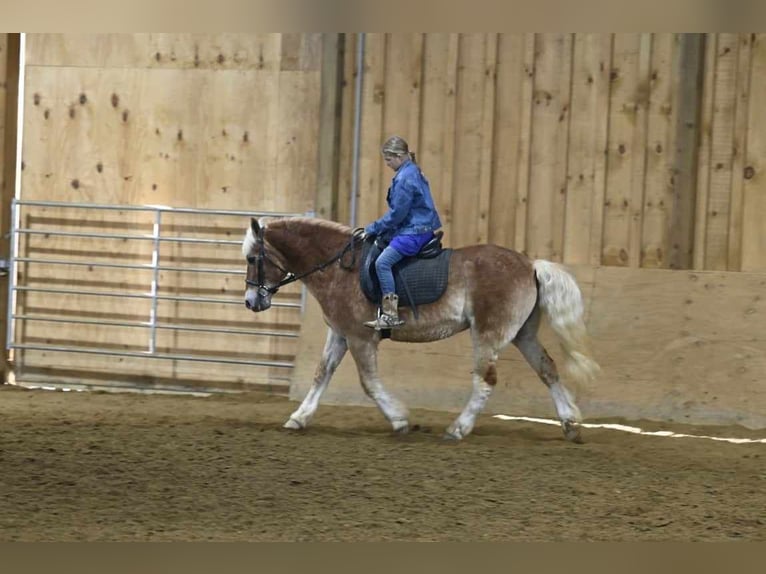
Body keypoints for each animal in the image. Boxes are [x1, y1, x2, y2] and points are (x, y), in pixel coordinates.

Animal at [243, 218, 604, 444]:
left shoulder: (360, 338)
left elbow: (368, 382)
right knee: (547, 369)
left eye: (251, 258)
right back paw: (570, 424)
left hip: (488, 334)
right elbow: (322, 374)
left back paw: (458, 429)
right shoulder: (341, 334)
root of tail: (530, 265)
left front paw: (400, 419)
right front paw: (299, 418)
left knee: (485, 381)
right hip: (522, 335)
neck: (338, 267)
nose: (250, 301)